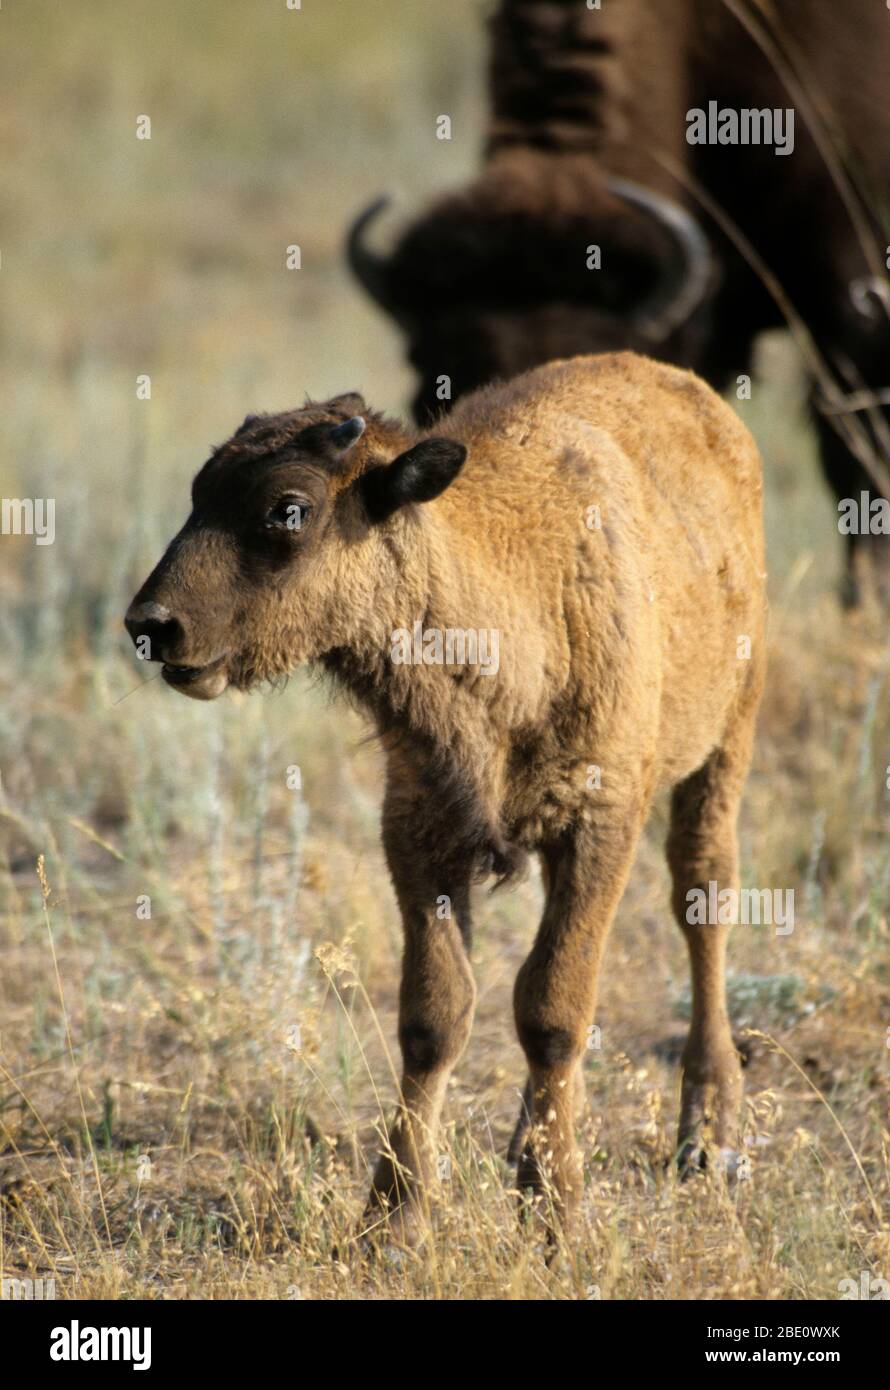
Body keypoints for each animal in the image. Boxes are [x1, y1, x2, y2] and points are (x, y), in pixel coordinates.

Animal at [123, 355, 767, 1239]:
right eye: (199, 492)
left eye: (288, 508)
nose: (152, 625)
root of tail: (699, 400)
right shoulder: (421, 833)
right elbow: (436, 1016)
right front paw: (393, 1220)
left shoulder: (599, 825)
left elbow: (553, 1009)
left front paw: (556, 1215)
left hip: (726, 740)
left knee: (704, 898)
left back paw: (711, 1138)